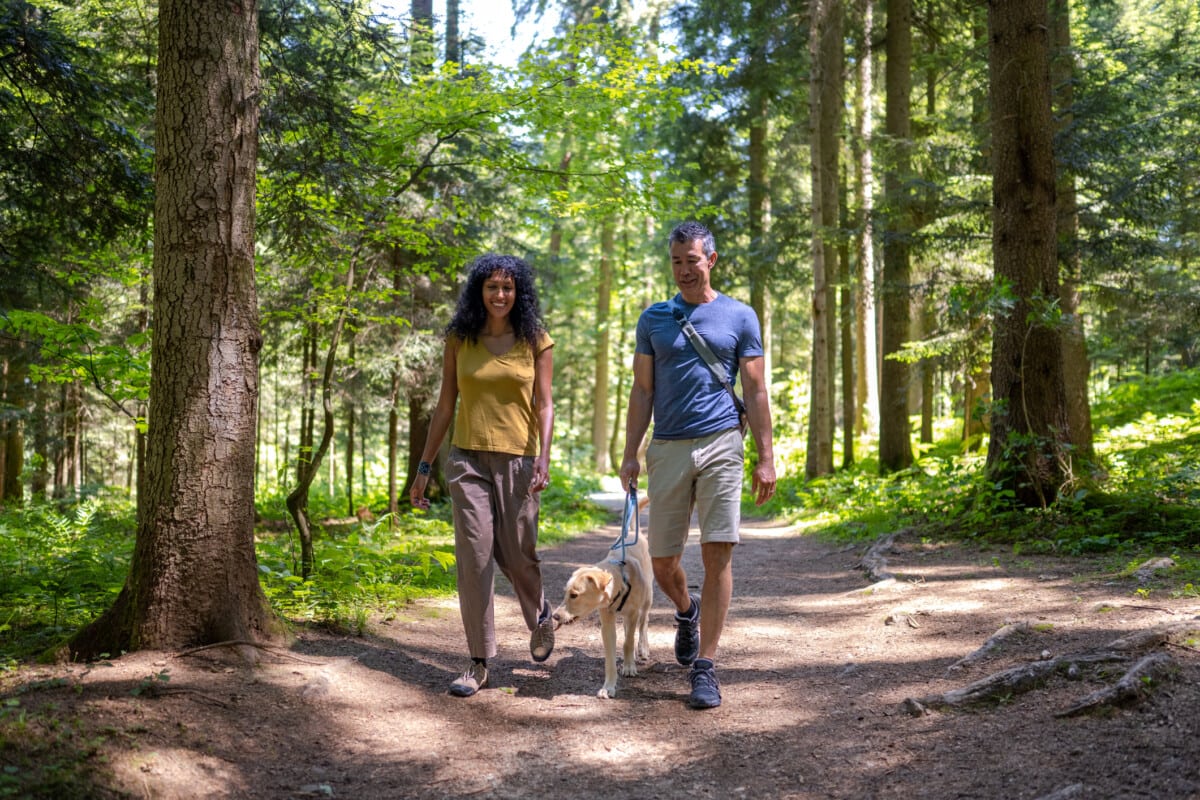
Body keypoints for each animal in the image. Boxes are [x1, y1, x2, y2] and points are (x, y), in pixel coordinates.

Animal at [554, 520, 652, 700]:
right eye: (565, 592)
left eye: (574, 595)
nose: (555, 616)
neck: (621, 582)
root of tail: (633, 532)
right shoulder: (606, 621)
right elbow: (610, 657)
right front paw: (608, 687)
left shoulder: (633, 612)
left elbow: (628, 642)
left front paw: (629, 667)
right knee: (628, 628)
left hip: (647, 598)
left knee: (643, 623)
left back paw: (643, 648)